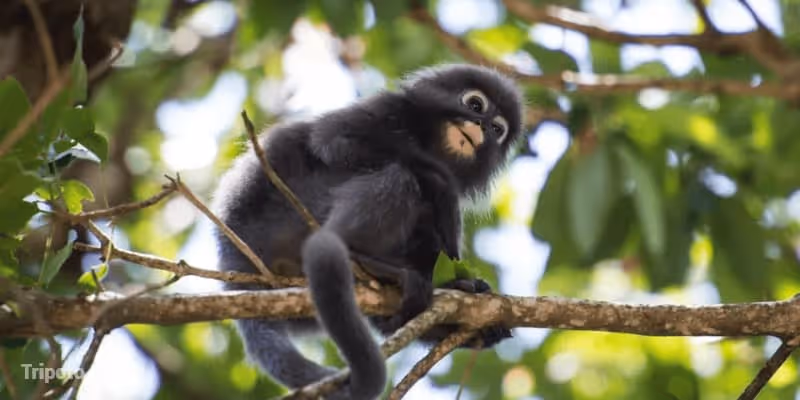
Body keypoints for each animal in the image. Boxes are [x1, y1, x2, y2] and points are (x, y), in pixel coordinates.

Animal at [212, 64, 524, 399]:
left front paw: (467, 291)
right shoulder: (387, 108)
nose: (480, 126)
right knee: (399, 177)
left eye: (497, 129)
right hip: (292, 211)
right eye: (476, 105)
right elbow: (332, 140)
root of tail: (234, 254)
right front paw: (443, 183)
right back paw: (364, 257)